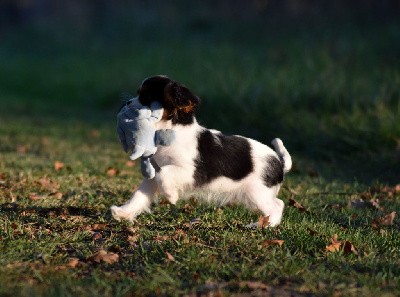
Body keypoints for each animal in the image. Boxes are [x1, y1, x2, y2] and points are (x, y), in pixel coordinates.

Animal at [111, 75, 292, 225]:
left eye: (146, 98)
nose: (127, 103)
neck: (171, 132)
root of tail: (279, 162)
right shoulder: (153, 176)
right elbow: (139, 195)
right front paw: (123, 213)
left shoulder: (191, 171)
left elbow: (164, 174)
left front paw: (171, 195)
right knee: (278, 203)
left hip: (256, 193)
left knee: (277, 206)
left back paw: (264, 226)